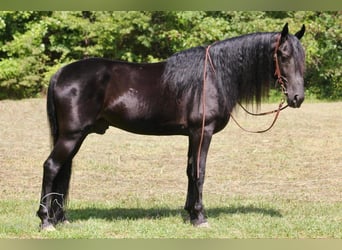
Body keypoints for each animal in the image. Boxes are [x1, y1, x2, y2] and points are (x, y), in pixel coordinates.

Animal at [36, 23, 304, 230]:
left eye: (301, 56)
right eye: (283, 54)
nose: (297, 98)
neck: (213, 76)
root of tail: (60, 73)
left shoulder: (192, 135)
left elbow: (190, 170)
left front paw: (190, 213)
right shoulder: (202, 132)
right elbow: (199, 172)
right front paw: (200, 217)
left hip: (75, 136)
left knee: (62, 170)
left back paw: (60, 218)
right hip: (71, 135)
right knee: (51, 167)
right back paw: (46, 220)